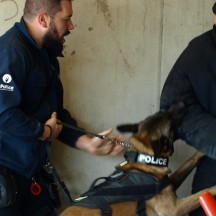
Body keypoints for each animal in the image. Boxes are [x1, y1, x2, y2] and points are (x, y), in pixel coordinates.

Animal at [60, 102, 216, 214]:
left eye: (161, 112)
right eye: (170, 121)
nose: (182, 103)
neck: (144, 158)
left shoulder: (169, 183)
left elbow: (188, 162)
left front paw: (201, 152)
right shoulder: (175, 208)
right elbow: (203, 192)